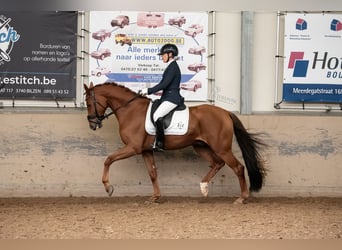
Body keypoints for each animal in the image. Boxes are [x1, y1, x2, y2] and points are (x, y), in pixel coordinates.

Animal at [83, 82, 268, 203]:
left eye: (89, 102)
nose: (92, 124)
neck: (130, 110)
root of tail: (225, 112)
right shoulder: (145, 150)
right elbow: (152, 173)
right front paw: (155, 197)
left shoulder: (132, 148)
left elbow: (108, 159)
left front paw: (108, 188)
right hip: (201, 147)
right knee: (217, 163)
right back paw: (204, 187)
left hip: (221, 148)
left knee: (238, 167)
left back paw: (242, 198)